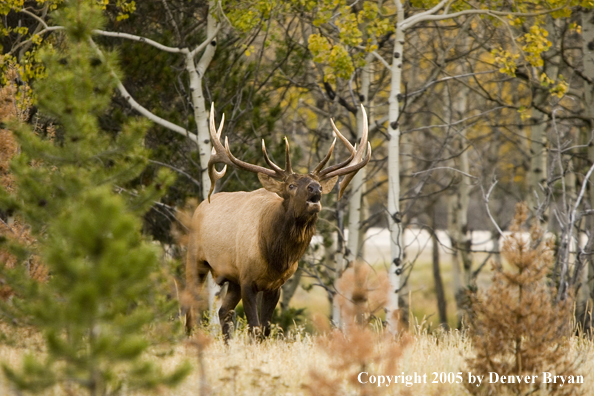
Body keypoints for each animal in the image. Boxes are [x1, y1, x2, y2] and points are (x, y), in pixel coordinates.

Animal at [186, 103, 370, 338]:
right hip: (195, 259)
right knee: (190, 308)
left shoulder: (275, 285)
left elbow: (265, 329)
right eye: (291, 185)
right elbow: (254, 327)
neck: (274, 255)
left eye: (318, 183)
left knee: (223, 311)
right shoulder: (247, 279)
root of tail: (199, 207)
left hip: (232, 279)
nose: (315, 188)